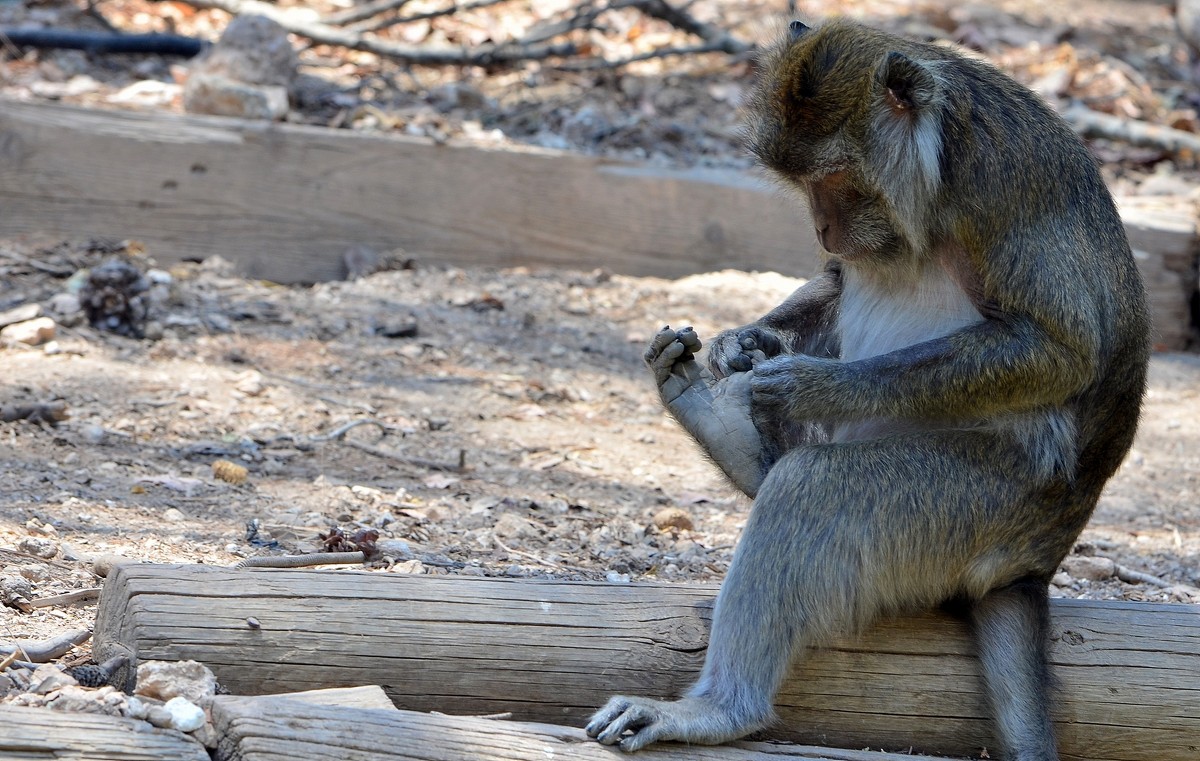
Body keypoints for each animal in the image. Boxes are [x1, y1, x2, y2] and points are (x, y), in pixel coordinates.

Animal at [585, 17, 1147, 758]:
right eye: (801, 184)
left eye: (836, 178)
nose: (822, 226)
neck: (938, 161)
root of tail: (1034, 564)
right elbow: (833, 278)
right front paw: (746, 342)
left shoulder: (1001, 177)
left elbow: (1062, 350)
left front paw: (816, 387)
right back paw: (717, 421)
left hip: (977, 509)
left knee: (814, 484)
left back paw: (719, 708)